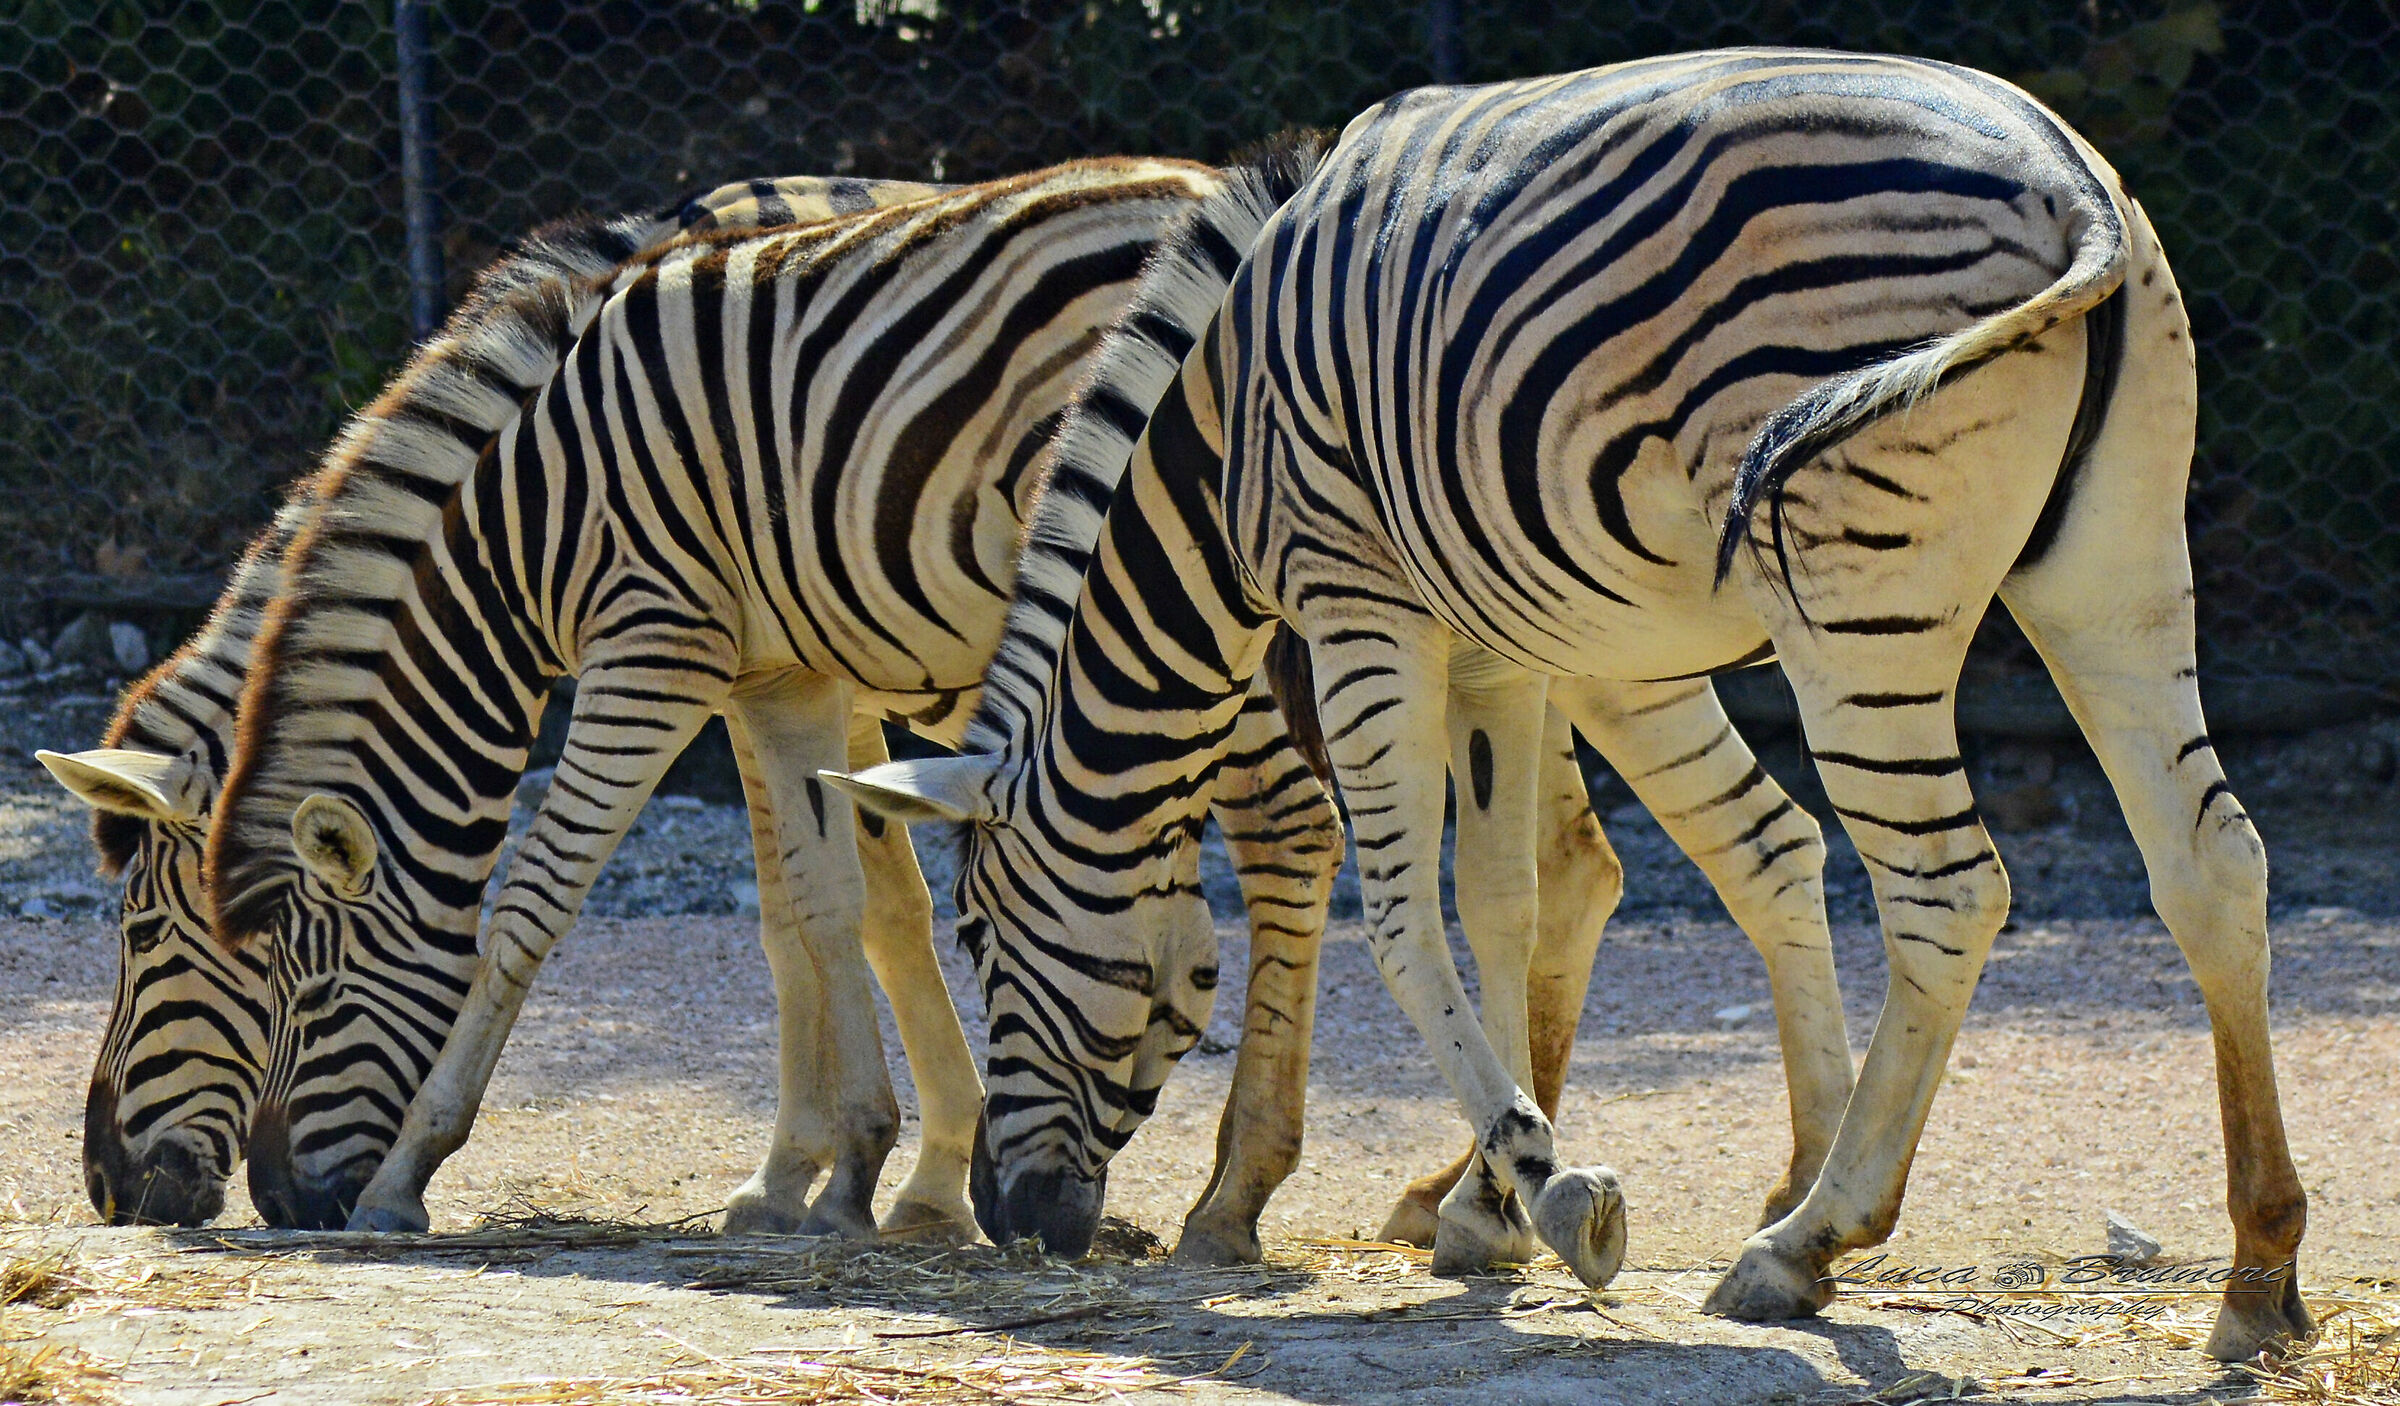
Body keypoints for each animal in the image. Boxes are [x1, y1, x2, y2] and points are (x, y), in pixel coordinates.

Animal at [33, 173, 946, 1227]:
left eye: (142, 934)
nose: (107, 1186)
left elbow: (845, 911)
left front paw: (890, 1182)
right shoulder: (776, 680)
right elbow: (831, 909)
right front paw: (856, 1177)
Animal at [830, 50, 2311, 1361]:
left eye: (977, 932)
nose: (1009, 1216)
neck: (1214, 449)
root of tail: (2064, 176)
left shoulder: (1357, 598)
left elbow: (1405, 918)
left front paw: (1545, 1186)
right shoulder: (1496, 640)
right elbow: (1508, 900)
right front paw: (1492, 1198)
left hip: (1854, 595)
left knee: (1946, 892)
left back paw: (1808, 1241)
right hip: (2113, 565)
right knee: (2212, 860)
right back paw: (2259, 1272)